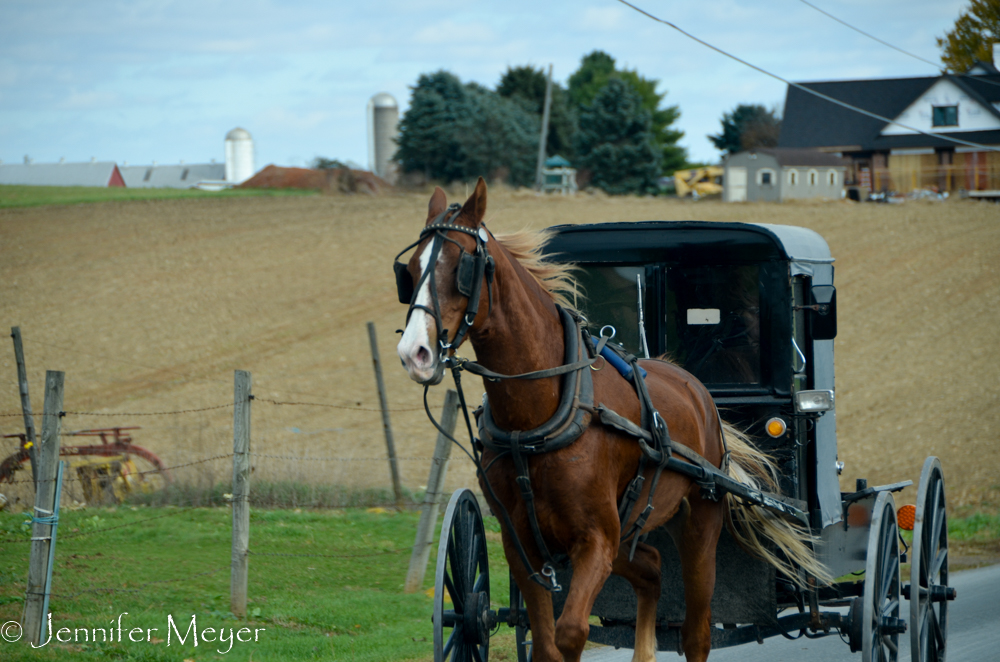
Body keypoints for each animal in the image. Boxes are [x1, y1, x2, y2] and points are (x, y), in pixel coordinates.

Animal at [398, 180, 828, 662]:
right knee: (653, 569)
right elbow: (547, 643)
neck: (537, 419)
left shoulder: (595, 540)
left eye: (463, 267)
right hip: (627, 532)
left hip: (699, 524)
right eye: (409, 272)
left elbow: (570, 633)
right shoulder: (523, 546)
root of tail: (694, 386)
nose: (414, 353)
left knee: (696, 632)